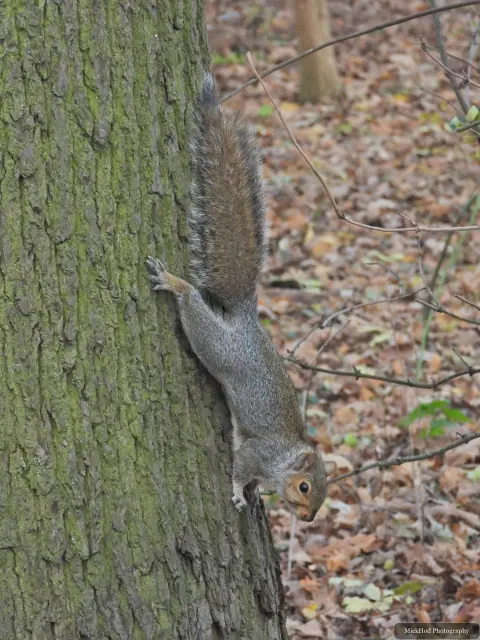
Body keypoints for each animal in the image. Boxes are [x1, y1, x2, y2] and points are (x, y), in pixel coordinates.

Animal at [146, 73, 334, 522]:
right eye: (304, 487)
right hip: (218, 347)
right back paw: (175, 283)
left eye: (322, 494)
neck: (281, 460)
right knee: (194, 311)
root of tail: (246, 318)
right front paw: (238, 494)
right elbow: (240, 468)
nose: (308, 517)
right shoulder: (255, 452)